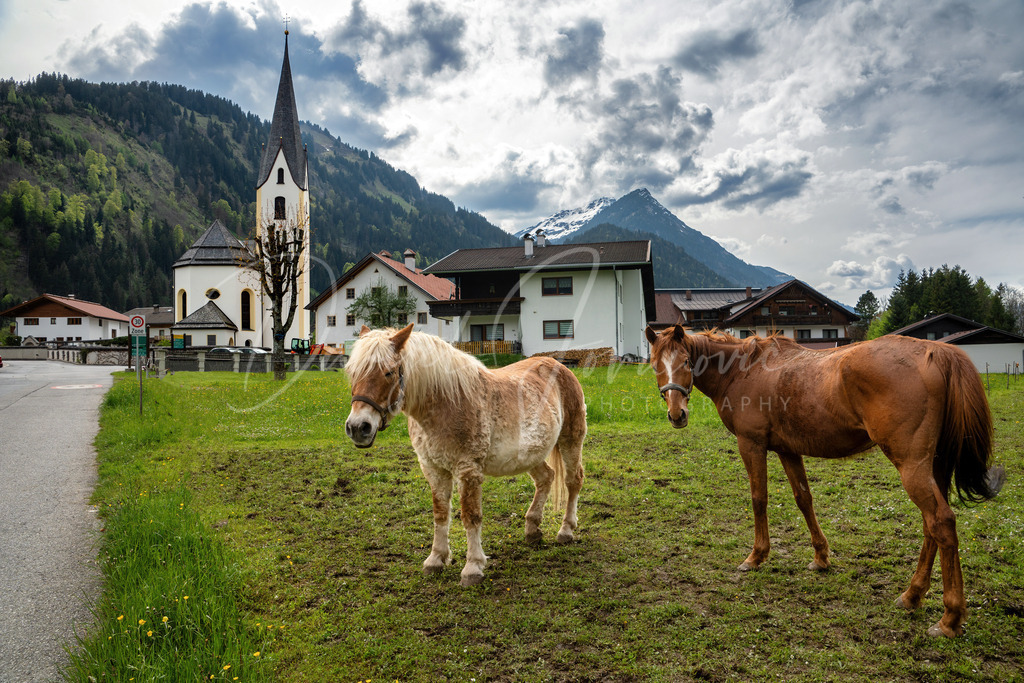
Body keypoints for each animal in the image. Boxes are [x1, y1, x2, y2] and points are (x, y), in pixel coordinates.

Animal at [345, 324, 587, 586]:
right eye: (352, 373)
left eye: (388, 372)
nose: (358, 427)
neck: (445, 404)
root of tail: (559, 366)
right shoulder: (433, 469)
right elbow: (440, 514)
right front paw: (436, 560)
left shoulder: (468, 470)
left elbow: (471, 516)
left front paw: (473, 567)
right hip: (531, 454)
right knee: (546, 478)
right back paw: (532, 529)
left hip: (571, 440)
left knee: (573, 481)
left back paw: (566, 530)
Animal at [644, 324, 1005, 638]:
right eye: (655, 365)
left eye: (686, 362)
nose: (676, 415)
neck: (745, 370)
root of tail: (935, 350)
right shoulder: (788, 450)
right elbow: (804, 499)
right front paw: (820, 557)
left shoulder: (751, 445)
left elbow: (759, 499)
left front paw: (756, 556)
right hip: (934, 467)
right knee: (932, 527)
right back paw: (912, 595)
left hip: (912, 467)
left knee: (941, 522)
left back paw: (950, 618)